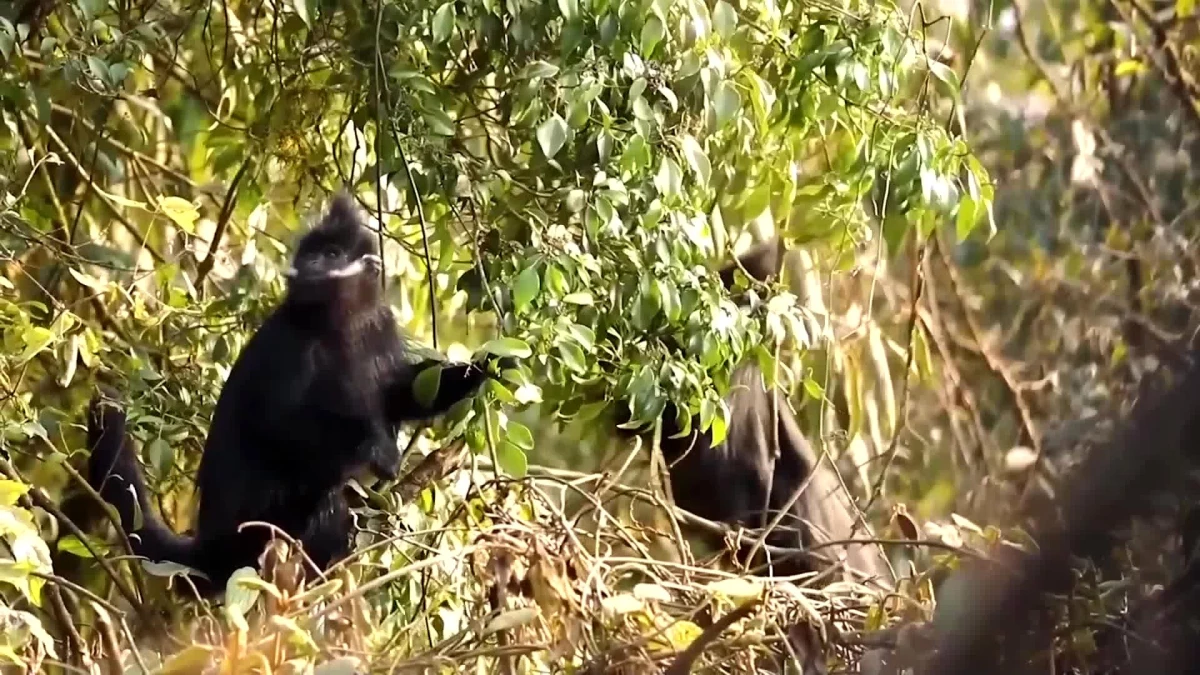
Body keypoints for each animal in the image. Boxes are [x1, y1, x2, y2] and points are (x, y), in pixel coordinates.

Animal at [85, 192, 501, 595]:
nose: (310, 264)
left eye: (331, 254)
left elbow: (400, 392)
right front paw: (376, 448)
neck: (342, 320)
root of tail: (211, 546)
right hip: (255, 527)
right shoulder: (289, 340)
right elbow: (274, 421)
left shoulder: (380, 325)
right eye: (311, 254)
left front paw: (485, 367)